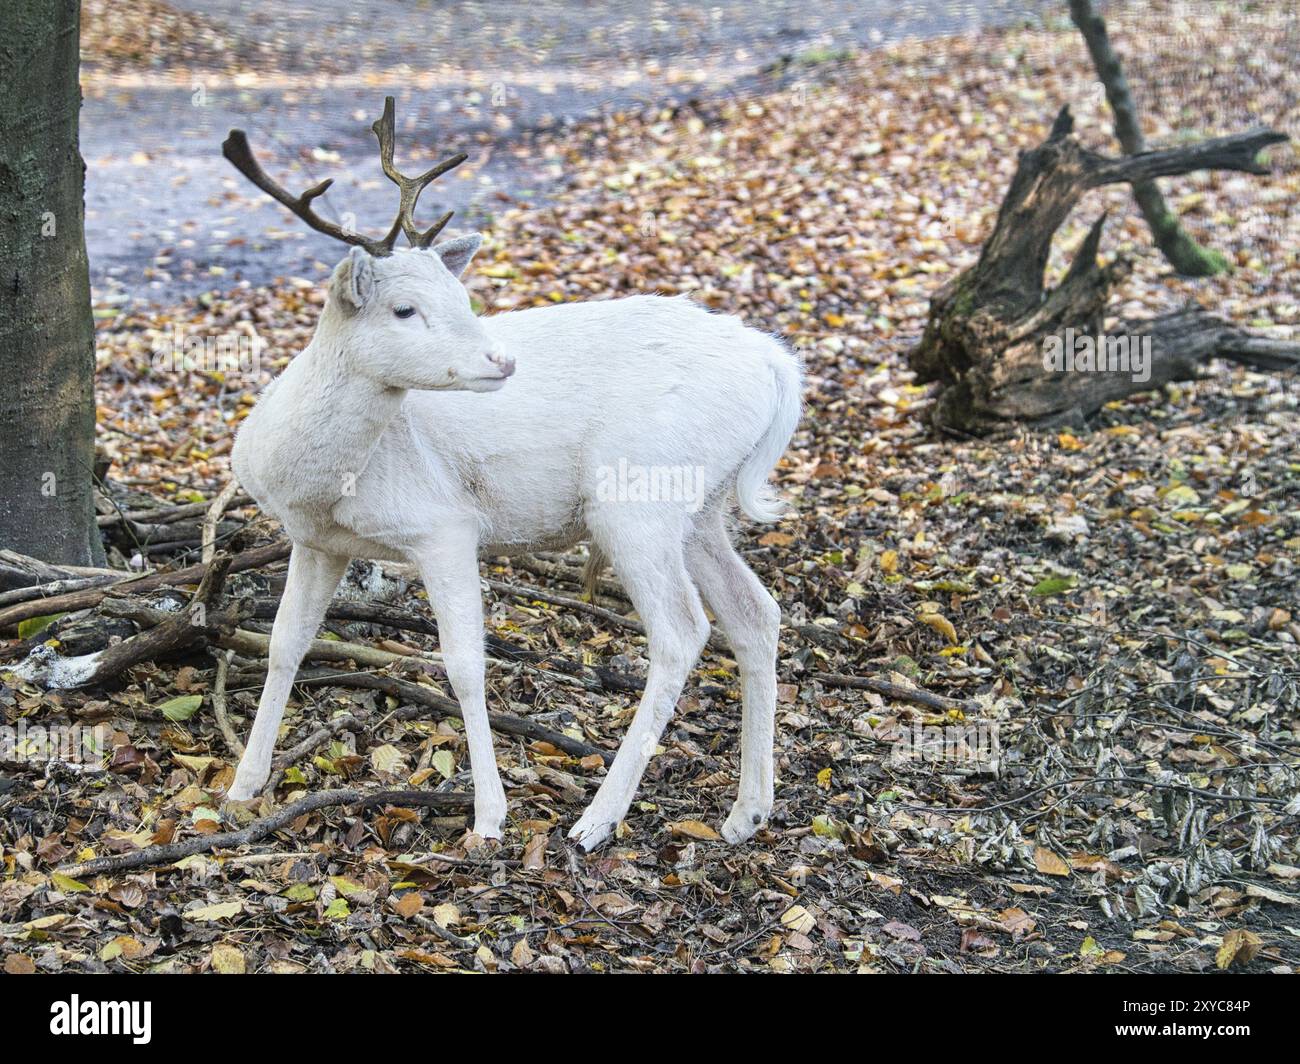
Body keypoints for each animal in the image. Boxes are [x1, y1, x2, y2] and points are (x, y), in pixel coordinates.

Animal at [220, 99, 800, 848]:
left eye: (462, 297)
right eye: (404, 308)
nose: (501, 360)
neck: (318, 480)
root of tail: (776, 365)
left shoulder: (444, 525)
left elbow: (466, 665)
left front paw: (490, 817)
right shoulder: (315, 540)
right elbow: (284, 644)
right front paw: (243, 785)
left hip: (635, 499)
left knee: (682, 630)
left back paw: (596, 819)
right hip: (700, 507)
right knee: (755, 612)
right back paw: (746, 811)